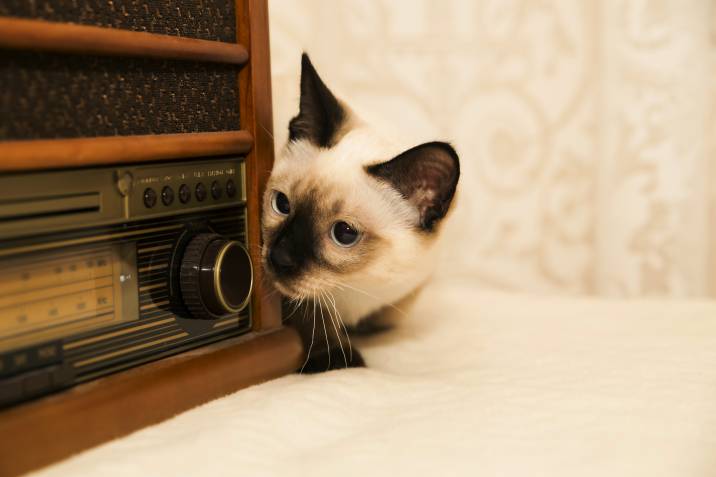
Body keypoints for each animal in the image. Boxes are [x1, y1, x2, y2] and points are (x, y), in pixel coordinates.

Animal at [262, 54, 458, 370]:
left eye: (344, 234)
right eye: (282, 205)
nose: (279, 258)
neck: (353, 285)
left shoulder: (409, 288)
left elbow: (387, 315)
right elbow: (310, 315)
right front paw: (338, 358)